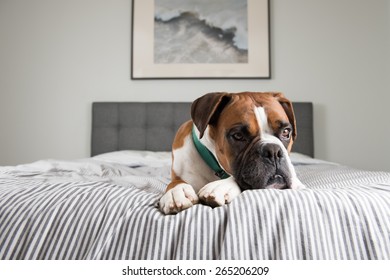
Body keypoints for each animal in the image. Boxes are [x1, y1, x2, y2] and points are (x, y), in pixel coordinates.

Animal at [158, 92, 304, 214]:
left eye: (286, 132)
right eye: (238, 136)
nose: (273, 151)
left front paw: (221, 186)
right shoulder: (178, 173)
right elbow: (175, 183)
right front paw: (176, 192)